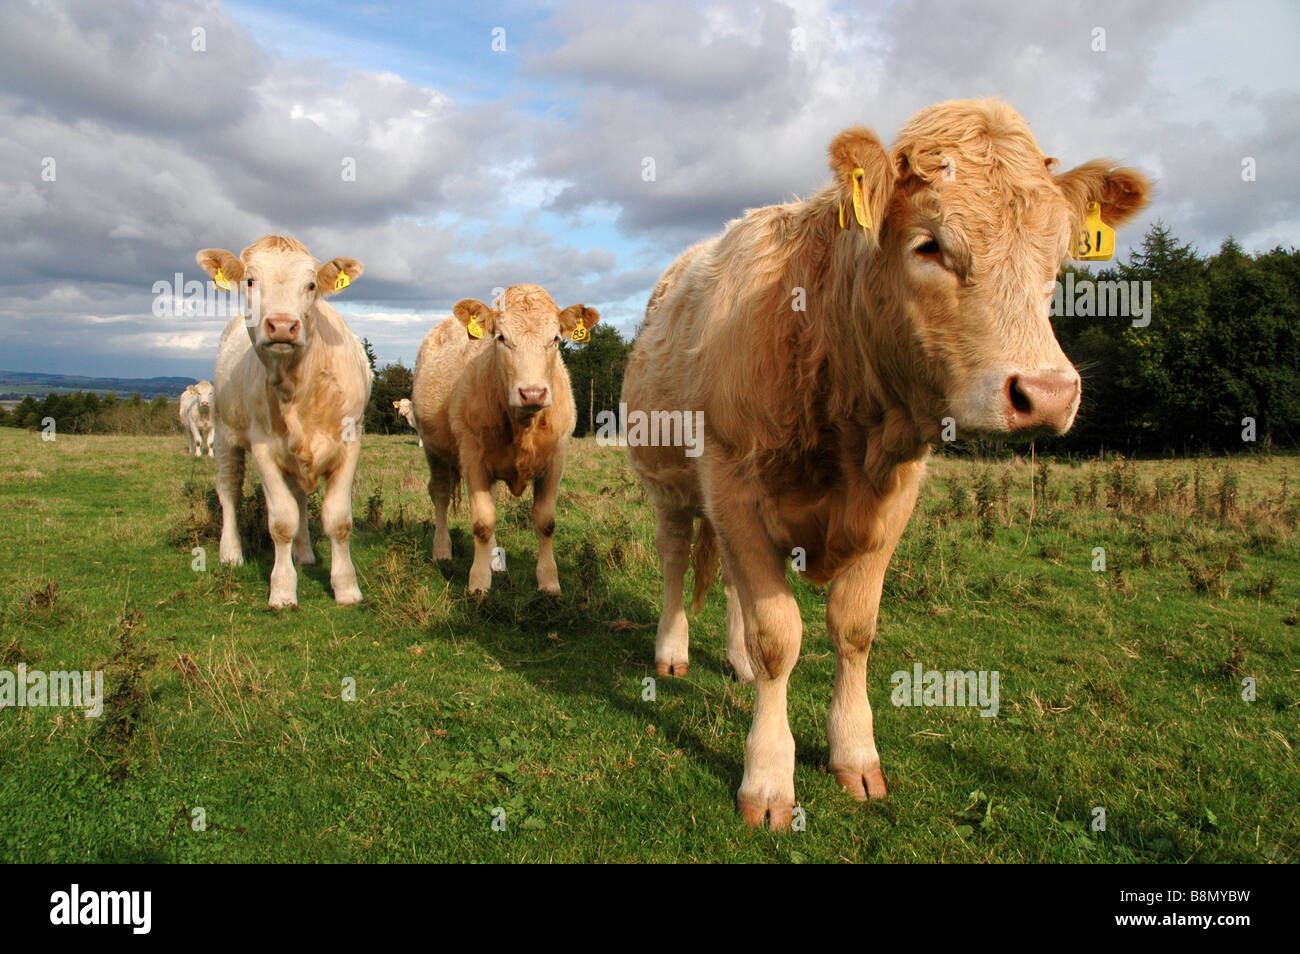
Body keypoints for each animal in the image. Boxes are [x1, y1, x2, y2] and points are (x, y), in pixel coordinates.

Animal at [195, 233, 374, 605]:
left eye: (311, 285)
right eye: (250, 280)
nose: (281, 325)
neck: (300, 386)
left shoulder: (351, 443)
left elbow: (338, 519)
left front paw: (346, 587)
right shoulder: (263, 448)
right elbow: (281, 520)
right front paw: (281, 590)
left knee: (300, 497)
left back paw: (304, 554)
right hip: (225, 431)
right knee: (229, 487)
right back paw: (231, 552)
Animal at [410, 285, 598, 597]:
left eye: (555, 339)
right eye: (501, 338)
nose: (532, 392)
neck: (522, 426)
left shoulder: (556, 458)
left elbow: (545, 522)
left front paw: (549, 581)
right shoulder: (472, 455)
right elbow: (482, 522)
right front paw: (478, 582)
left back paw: (494, 560)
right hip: (434, 448)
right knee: (440, 493)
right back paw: (442, 551)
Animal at [624, 98, 1154, 831]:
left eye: (1056, 261)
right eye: (929, 245)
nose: (1047, 394)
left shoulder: (890, 503)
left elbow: (852, 629)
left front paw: (854, 753)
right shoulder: (733, 482)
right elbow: (778, 636)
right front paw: (768, 778)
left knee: (729, 584)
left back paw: (733, 662)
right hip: (671, 484)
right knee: (677, 560)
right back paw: (672, 651)